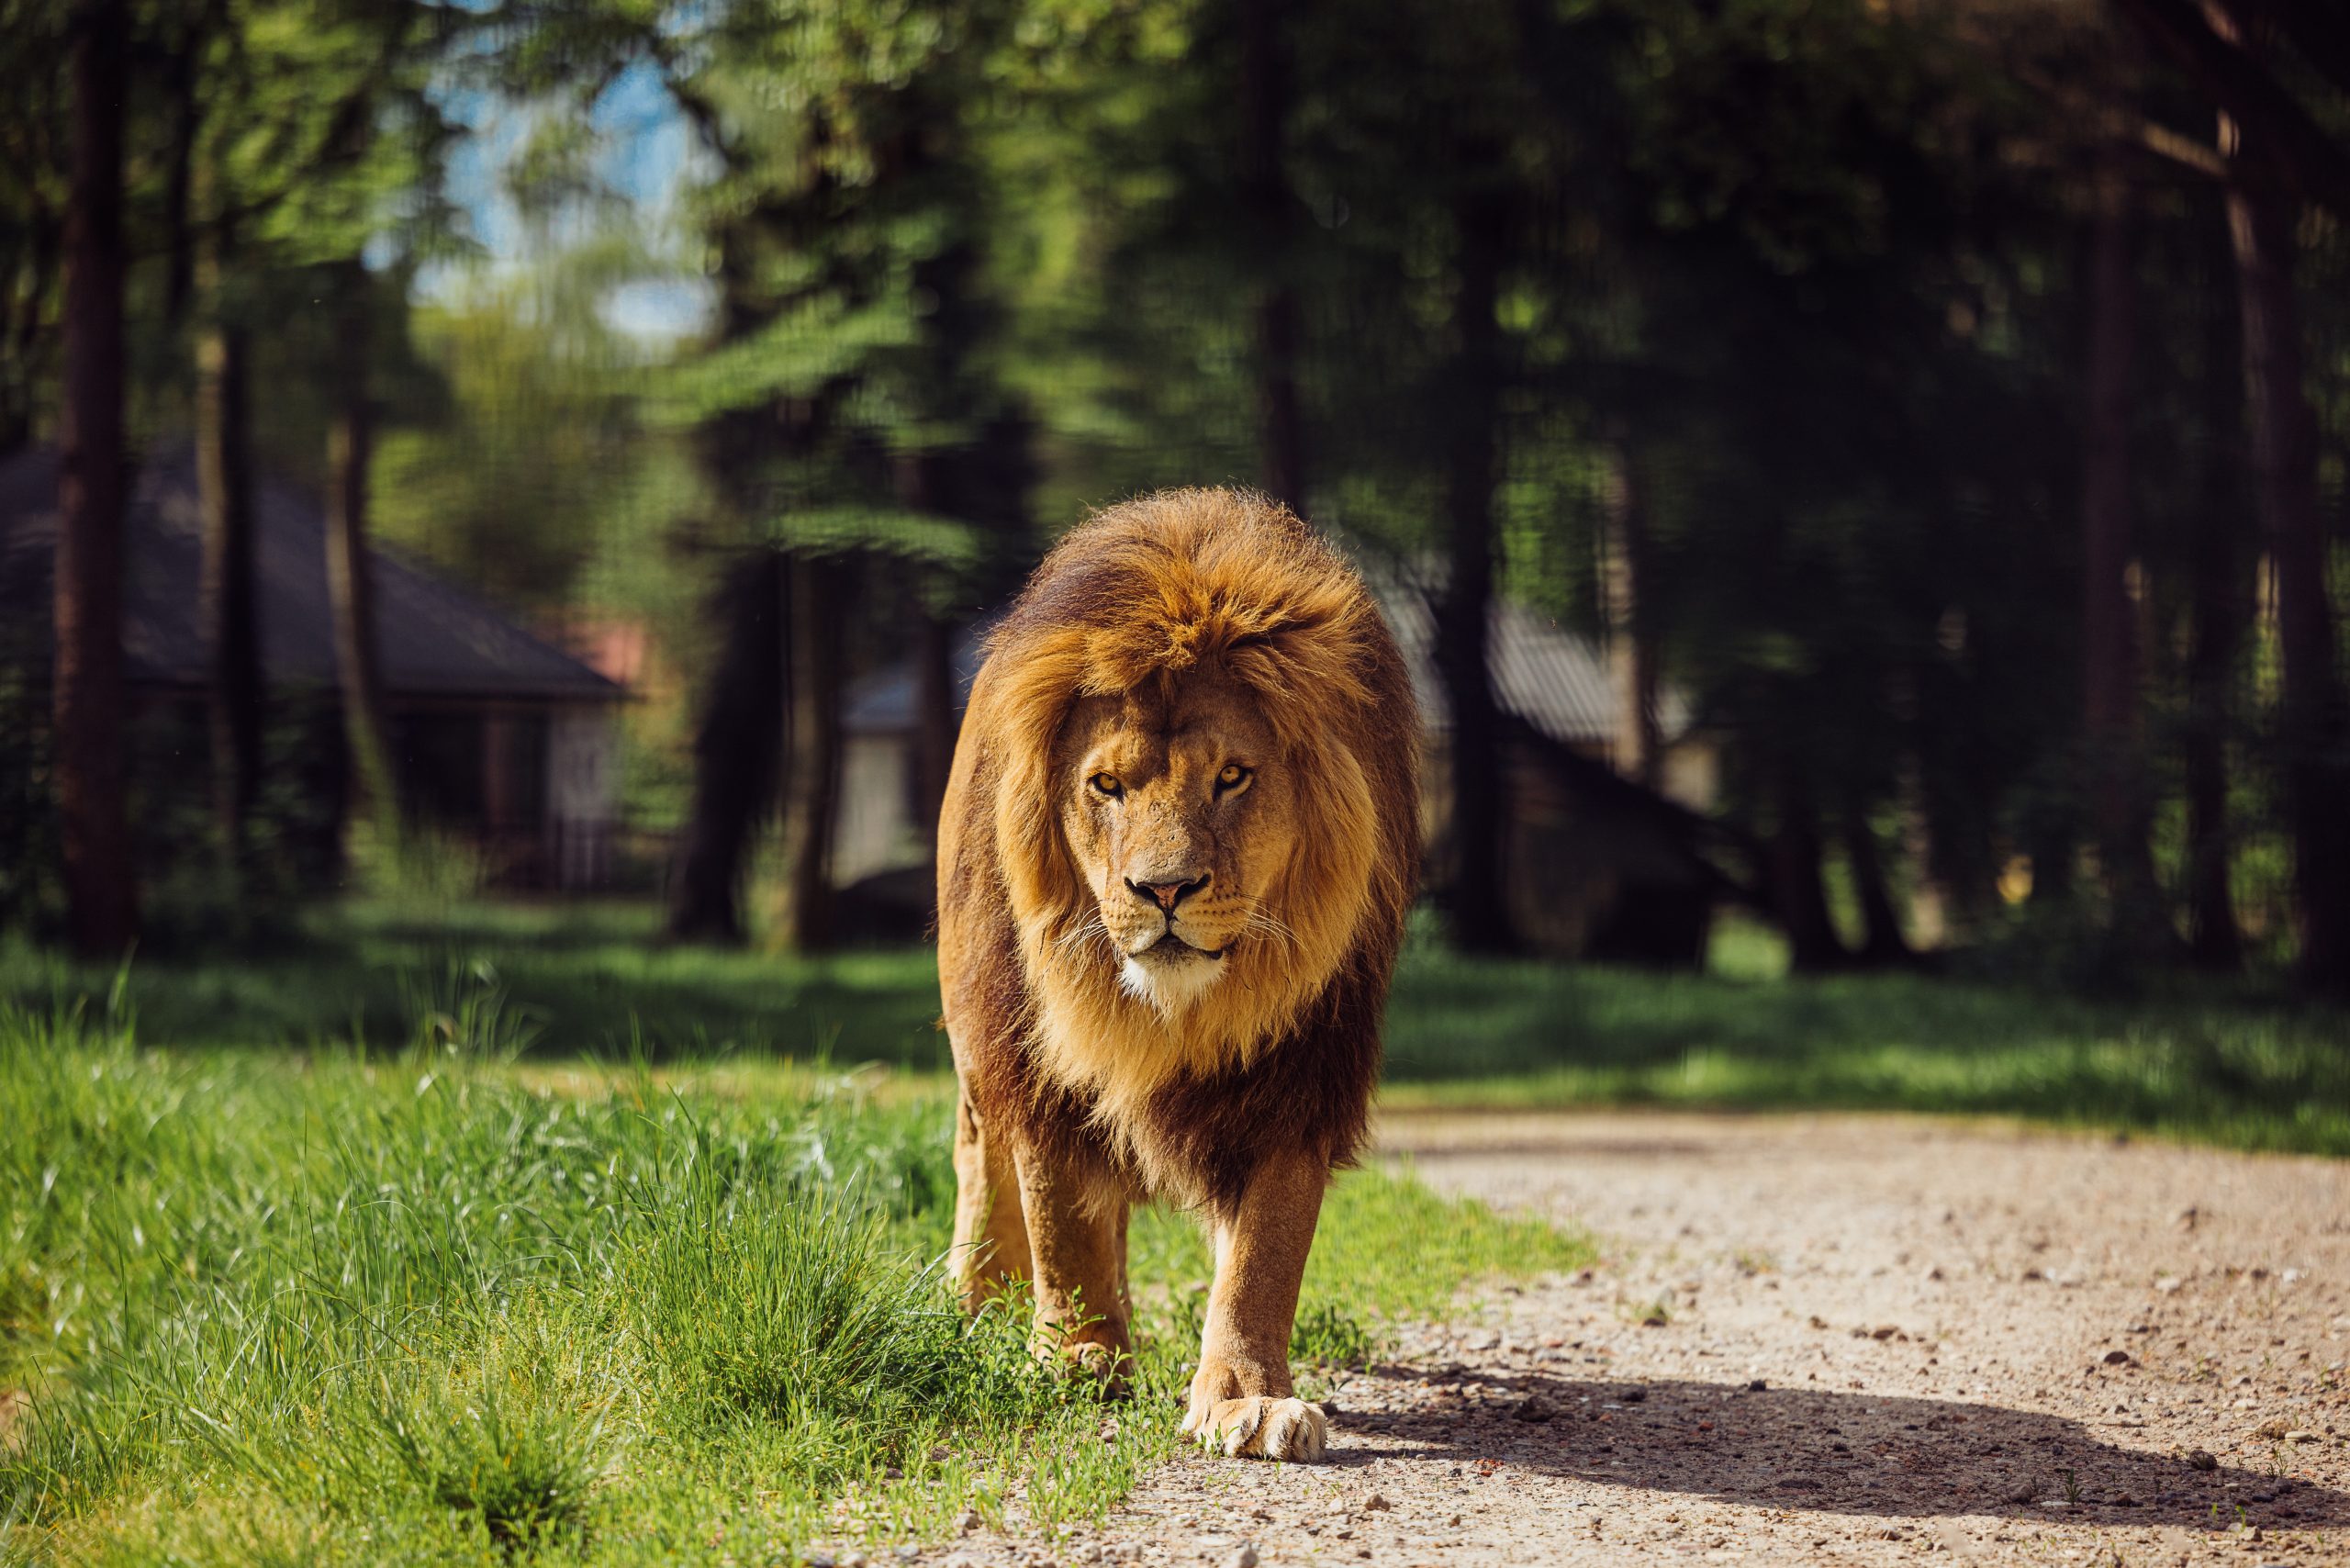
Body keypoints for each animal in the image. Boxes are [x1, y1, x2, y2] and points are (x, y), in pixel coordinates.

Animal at [930, 484, 1410, 1466]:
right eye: (1106, 786)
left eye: (1231, 777)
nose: (1163, 889)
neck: (1177, 1010)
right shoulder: (1037, 1060)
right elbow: (1058, 1215)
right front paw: (1075, 1360)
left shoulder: (1299, 1074)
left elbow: (1263, 1252)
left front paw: (1244, 1398)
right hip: (975, 1036)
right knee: (981, 1165)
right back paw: (977, 1310)